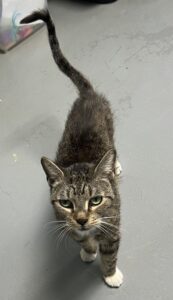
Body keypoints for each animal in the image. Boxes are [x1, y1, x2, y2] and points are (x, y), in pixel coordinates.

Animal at [20, 9, 123, 288]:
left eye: (96, 200)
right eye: (65, 203)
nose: (81, 219)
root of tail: (87, 95)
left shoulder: (113, 226)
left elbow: (110, 253)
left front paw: (110, 274)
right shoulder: (66, 225)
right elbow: (82, 239)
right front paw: (88, 250)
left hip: (110, 124)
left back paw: (116, 163)